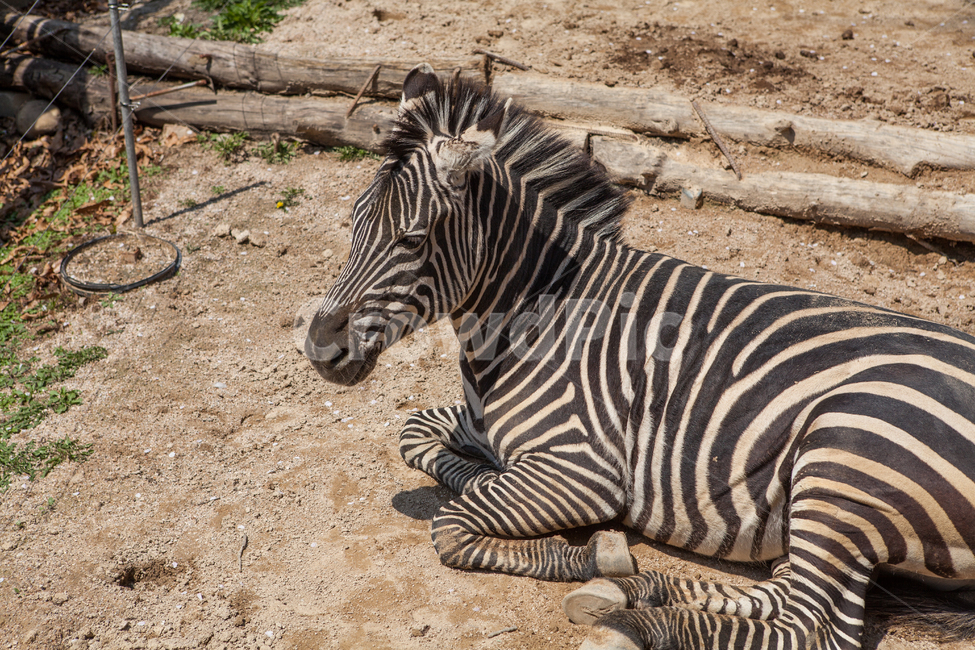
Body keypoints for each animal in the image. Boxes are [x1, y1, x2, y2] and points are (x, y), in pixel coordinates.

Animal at [303, 63, 975, 649]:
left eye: (411, 240)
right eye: (354, 221)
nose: (318, 345)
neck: (536, 311)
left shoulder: (581, 467)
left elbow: (450, 527)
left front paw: (589, 544)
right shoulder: (479, 426)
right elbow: (414, 433)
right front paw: (496, 480)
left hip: (842, 460)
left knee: (808, 627)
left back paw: (630, 623)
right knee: (789, 596)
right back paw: (632, 593)